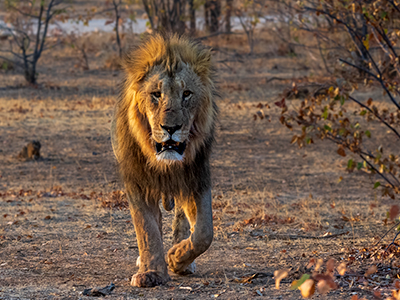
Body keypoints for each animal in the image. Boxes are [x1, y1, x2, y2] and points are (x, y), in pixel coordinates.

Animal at [110, 33, 219, 288]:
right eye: (156, 94)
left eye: (186, 94)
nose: (171, 128)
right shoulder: (138, 181)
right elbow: (147, 229)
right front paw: (151, 272)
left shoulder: (196, 176)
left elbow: (204, 232)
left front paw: (176, 258)